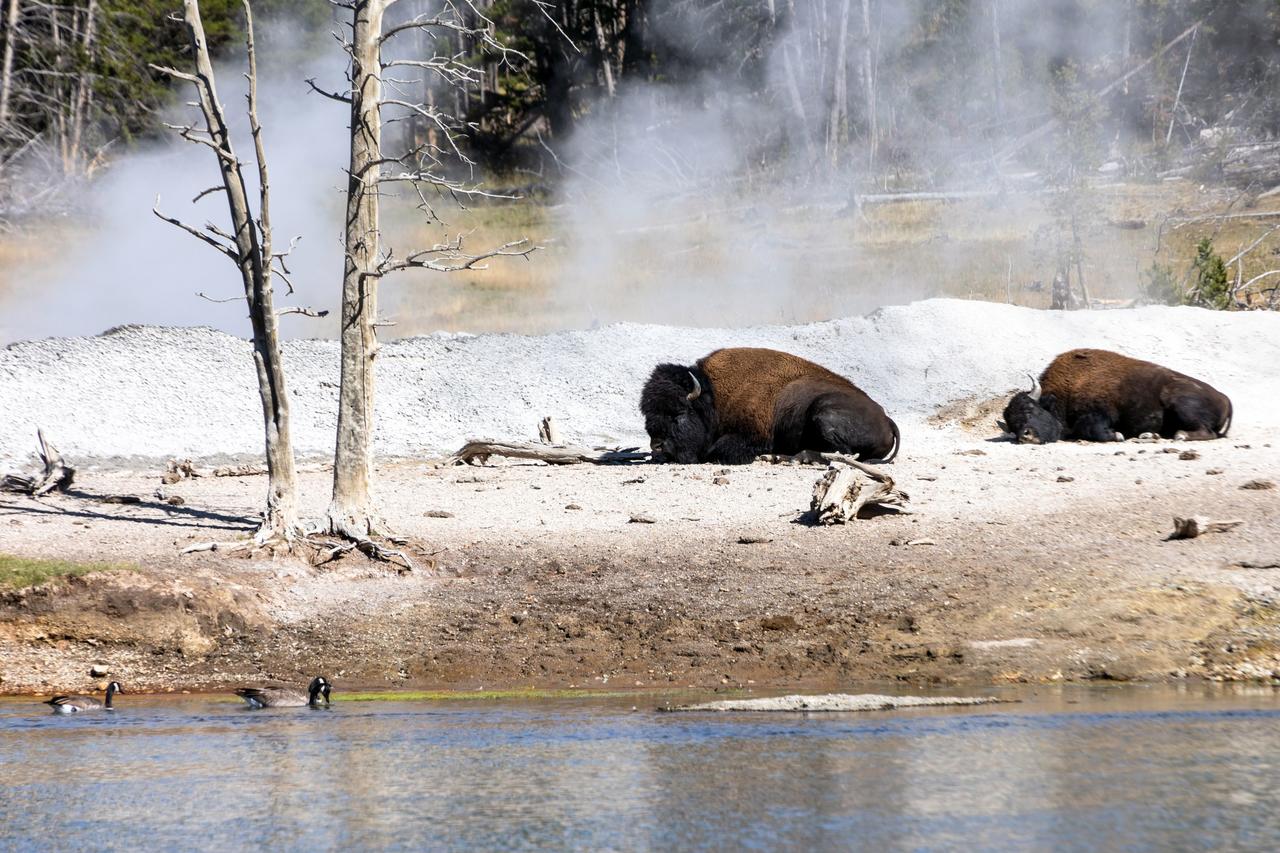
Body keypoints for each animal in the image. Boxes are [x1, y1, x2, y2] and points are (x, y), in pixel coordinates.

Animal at [640, 348, 901, 466]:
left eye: (679, 412)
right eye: (647, 415)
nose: (657, 447)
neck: (714, 397)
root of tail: (887, 419)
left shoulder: (751, 436)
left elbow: (718, 450)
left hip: (822, 413)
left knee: (841, 453)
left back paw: (790, 457)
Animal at [998, 345, 1228, 440]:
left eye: (1030, 409)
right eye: (1012, 424)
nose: (1026, 436)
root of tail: (1224, 397)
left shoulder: (1101, 414)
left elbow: (1092, 429)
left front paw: (1117, 435)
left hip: (1181, 405)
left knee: (1206, 431)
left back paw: (1180, 436)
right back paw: (1150, 435)